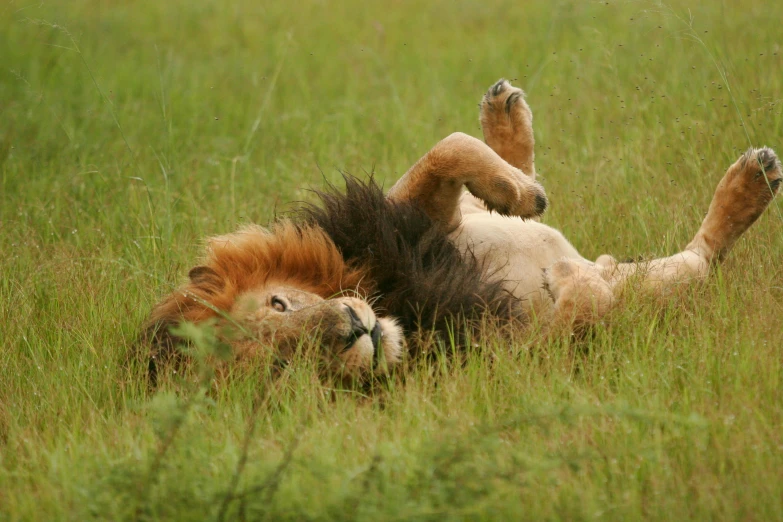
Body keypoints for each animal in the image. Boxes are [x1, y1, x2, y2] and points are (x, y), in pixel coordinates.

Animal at [142, 78, 783, 378]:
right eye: (283, 367)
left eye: (279, 303)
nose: (352, 328)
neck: (395, 304)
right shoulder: (521, 354)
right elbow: (584, 309)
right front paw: (574, 285)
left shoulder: (396, 222)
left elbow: (447, 150)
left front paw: (520, 194)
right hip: (659, 281)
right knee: (697, 259)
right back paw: (746, 189)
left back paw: (506, 124)